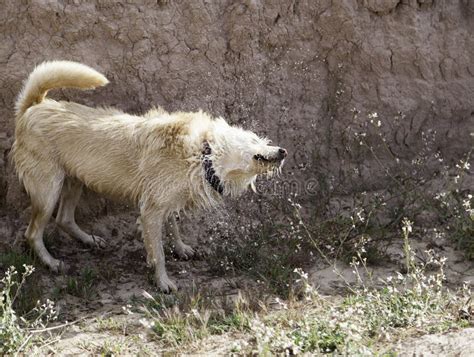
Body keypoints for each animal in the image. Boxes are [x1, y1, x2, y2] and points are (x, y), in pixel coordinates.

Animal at [11, 60, 286, 290]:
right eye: (255, 139)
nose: (283, 151)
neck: (201, 153)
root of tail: (34, 106)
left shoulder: (168, 202)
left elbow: (174, 228)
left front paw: (182, 249)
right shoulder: (150, 211)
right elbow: (158, 253)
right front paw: (163, 282)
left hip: (75, 181)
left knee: (64, 219)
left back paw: (90, 240)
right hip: (48, 192)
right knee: (33, 233)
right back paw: (51, 262)